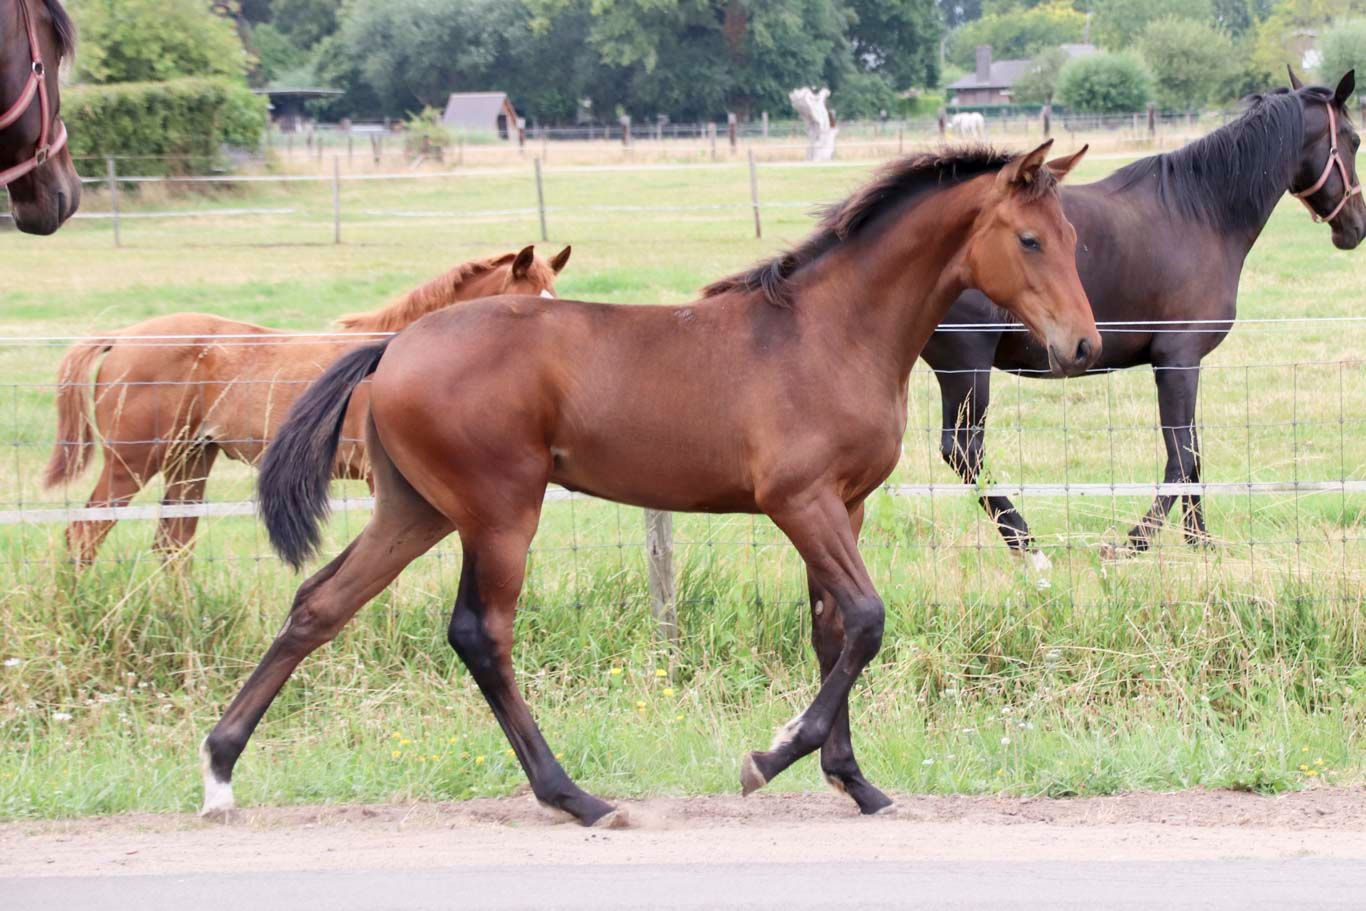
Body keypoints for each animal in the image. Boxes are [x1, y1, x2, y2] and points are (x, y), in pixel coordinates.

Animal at [42, 245, 571, 564]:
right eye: (529, 306)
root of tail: (122, 337)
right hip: (131, 462)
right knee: (84, 535)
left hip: (189, 461)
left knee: (173, 545)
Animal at [200, 141, 1100, 826]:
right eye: (1028, 239)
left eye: (1073, 237)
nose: (1083, 346)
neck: (828, 333)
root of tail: (394, 348)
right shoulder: (799, 502)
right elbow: (868, 620)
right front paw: (769, 755)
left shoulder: (846, 505)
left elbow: (835, 630)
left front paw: (856, 781)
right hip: (499, 512)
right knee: (481, 634)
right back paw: (576, 797)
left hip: (415, 509)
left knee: (319, 604)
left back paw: (218, 769)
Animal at [921, 72, 1364, 566]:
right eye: (1355, 140)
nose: (1355, 227)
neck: (1200, 212)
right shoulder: (1178, 359)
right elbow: (1182, 456)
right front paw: (1137, 541)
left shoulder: (1182, 365)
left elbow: (1192, 452)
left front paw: (1200, 541)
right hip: (967, 367)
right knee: (963, 450)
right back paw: (1024, 540)